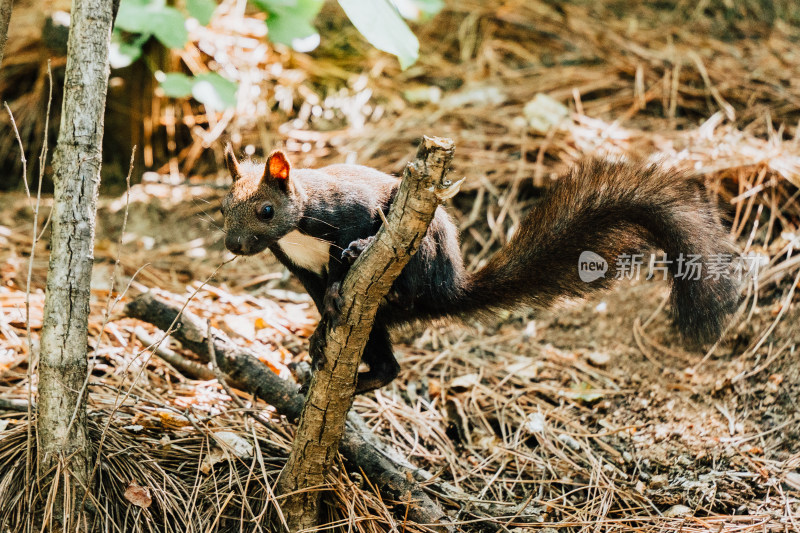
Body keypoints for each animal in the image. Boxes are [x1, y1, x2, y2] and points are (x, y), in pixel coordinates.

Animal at [222, 145, 740, 394]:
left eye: (266, 210)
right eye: (224, 207)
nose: (232, 244)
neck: (298, 229)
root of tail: (449, 288)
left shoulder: (349, 208)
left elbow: (349, 246)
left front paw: (344, 273)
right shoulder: (299, 268)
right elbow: (316, 287)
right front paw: (319, 324)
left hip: (425, 247)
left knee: (407, 286)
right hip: (377, 323)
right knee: (388, 363)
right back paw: (354, 368)